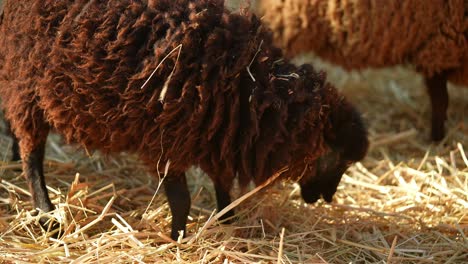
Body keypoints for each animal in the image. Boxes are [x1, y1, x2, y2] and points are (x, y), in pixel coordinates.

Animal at [0, 0, 370, 239]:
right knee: (33, 154)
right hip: (26, 86)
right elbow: (182, 200)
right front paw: (177, 237)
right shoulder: (167, 141)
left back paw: (13, 160)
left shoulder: (221, 136)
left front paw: (228, 221)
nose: (327, 199)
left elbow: (223, 185)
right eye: (339, 159)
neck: (251, 90)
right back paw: (47, 214)